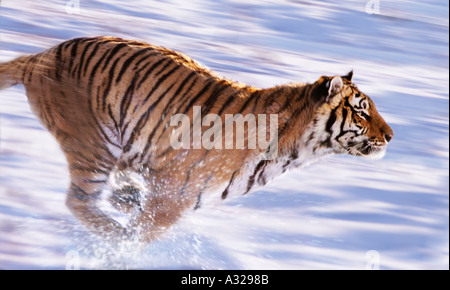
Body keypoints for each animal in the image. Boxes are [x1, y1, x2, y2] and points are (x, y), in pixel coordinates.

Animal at [0, 36, 392, 245]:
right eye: (361, 112)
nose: (390, 135)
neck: (293, 149)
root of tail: (44, 53)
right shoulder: (173, 195)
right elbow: (142, 234)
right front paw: (124, 249)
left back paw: (126, 198)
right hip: (94, 145)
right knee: (79, 201)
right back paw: (115, 229)